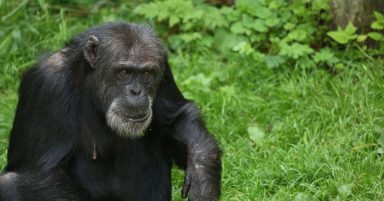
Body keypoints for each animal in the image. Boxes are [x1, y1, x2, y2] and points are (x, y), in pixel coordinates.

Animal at [0, 22, 222, 201]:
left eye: (147, 73)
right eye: (124, 71)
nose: (136, 91)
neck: (90, 83)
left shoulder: (164, 68)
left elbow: (175, 117)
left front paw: (203, 175)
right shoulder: (48, 84)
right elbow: (43, 173)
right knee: (10, 183)